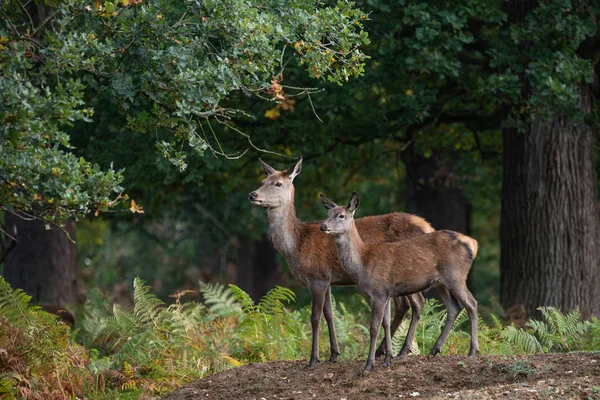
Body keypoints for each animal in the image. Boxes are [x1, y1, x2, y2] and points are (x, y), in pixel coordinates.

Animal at [246, 157, 434, 368]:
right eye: (263, 181)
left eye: (278, 183)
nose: (252, 194)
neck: (297, 245)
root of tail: (428, 227)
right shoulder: (327, 280)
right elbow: (329, 314)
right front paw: (334, 353)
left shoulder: (317, 277)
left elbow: (315, 318)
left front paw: (313, 359)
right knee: (405, 306)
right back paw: (384, 351)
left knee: (418, 302)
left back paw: (401, 351)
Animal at [318, 192, 478, 374]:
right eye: (328, 213)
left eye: (341, 215)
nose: (323, 226)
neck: (363, 263)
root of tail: (473, 244)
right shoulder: (386, 293)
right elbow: (386, 323)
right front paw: (388, 359)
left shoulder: (378, 292)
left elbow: (374, 327)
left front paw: (369, 365)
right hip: (441, 282)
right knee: (454, 307)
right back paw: (434, 350)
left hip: (456, 276)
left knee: (471, 303)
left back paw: (472, 351)